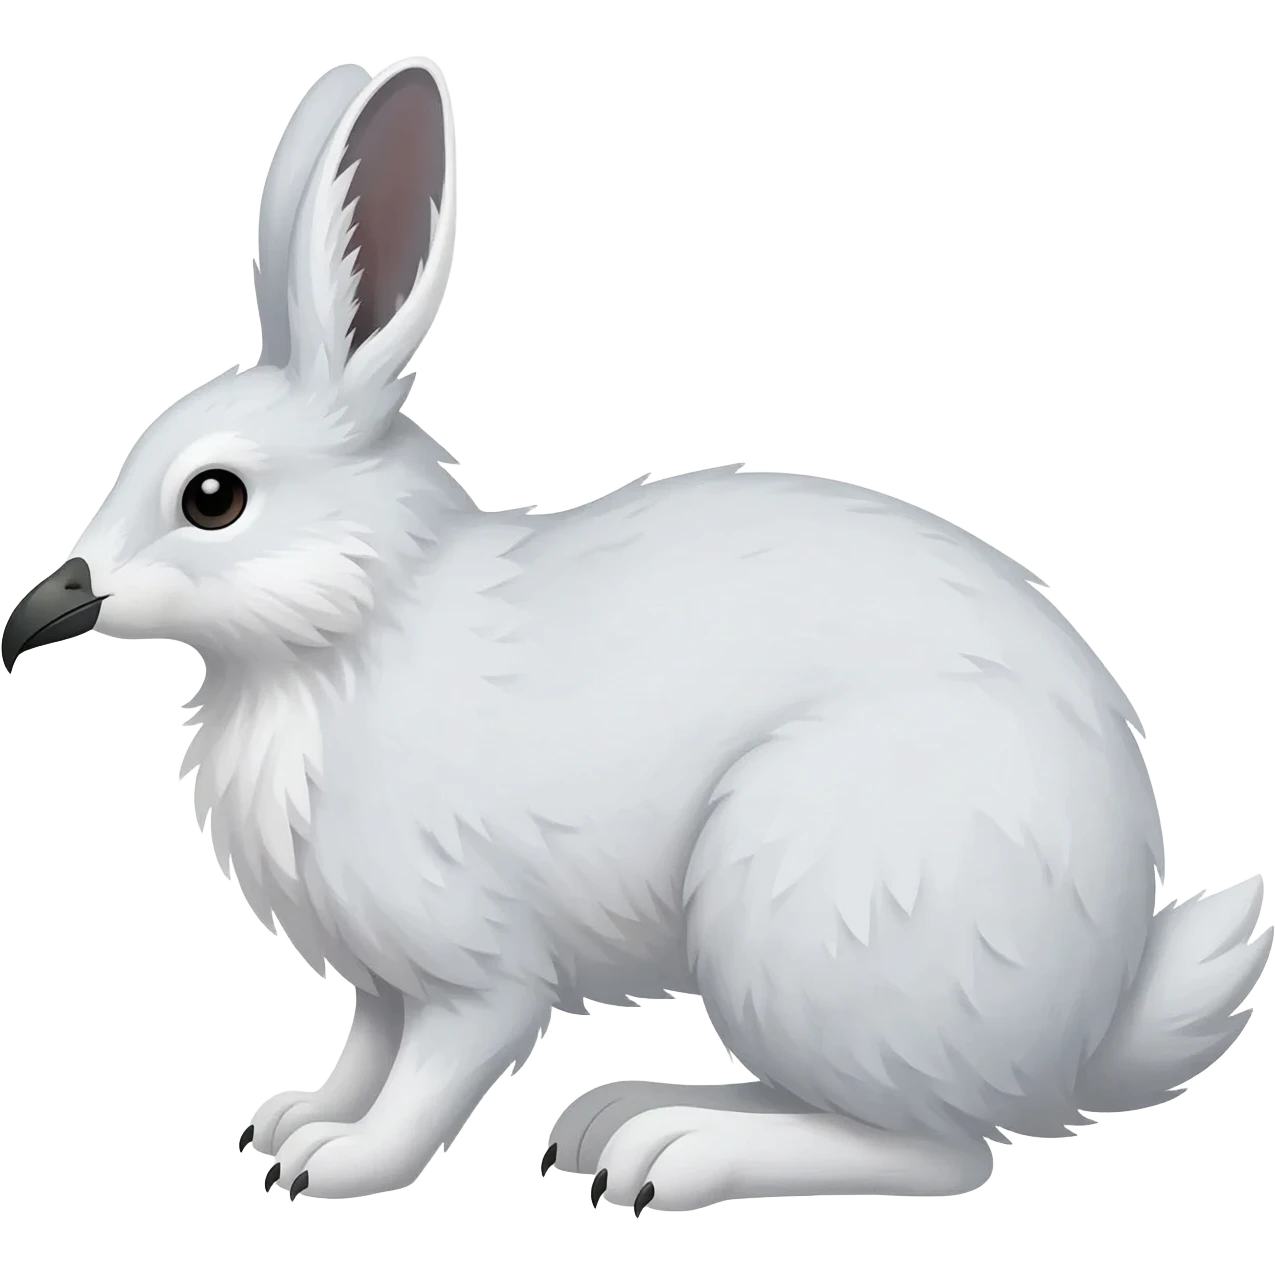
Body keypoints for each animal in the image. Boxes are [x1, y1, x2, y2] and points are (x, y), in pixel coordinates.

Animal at [1, 52, 1270, 1210]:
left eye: (212, 498)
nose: (33, 618)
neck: (349, 628)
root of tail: (1093, 1018)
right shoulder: (377, 975)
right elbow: (365, 1049)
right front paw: (290, 1120)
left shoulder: (472, 964)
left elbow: (433, 1072)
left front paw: (339, 1165)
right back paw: (621, 1114)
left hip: (811, 904)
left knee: (941, 1152)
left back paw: (672, 1153)